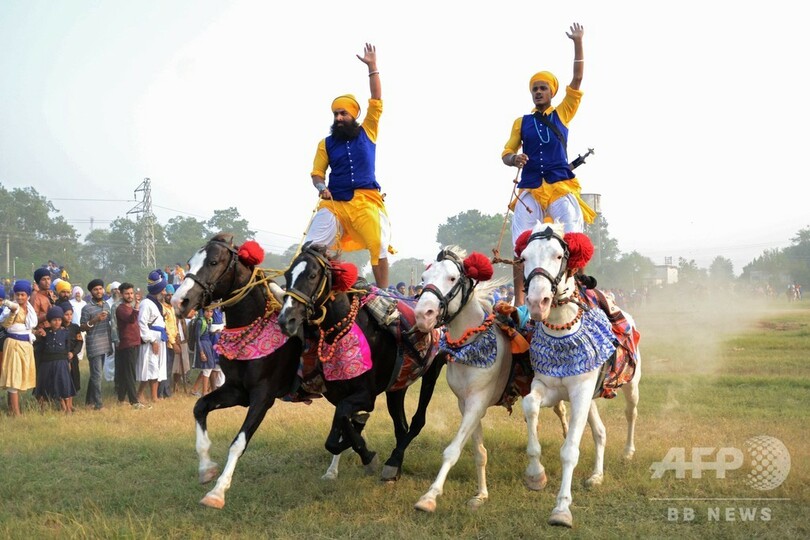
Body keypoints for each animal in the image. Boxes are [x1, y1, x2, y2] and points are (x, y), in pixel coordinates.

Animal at [171, 233, 307, 509]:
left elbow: (238, 443)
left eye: (213, 262)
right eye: (189, 263)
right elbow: (199, 407)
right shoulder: (236, 390)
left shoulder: (263, 396)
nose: (179, 302)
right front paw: (206, 468)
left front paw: (217, 492)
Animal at [277, 243, 446, 482]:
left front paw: (367, 454)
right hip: (397, 386)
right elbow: (339, 432)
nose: (286, 320)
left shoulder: (366, 395)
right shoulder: (338, 394)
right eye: (287, 275)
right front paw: (358, 449)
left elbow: (343, 426)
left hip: (432, 371)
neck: (343, 330)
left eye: (311, 275)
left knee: (416, 421)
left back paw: (393, 462)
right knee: (400, 425)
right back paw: (395, 466)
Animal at [519, 221, 641, 527]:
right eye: (524, 258)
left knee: (631, 412)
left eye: (558, 256)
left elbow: (570, 450)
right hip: (589, 398)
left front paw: (562, 508)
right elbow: (530, 405)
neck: (562, 329)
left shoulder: (581, 391)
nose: (538, 302)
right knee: (600, 431)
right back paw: (596, 476)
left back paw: (628, 452)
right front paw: (535, 474)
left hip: (630, 384)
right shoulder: (551, 388)